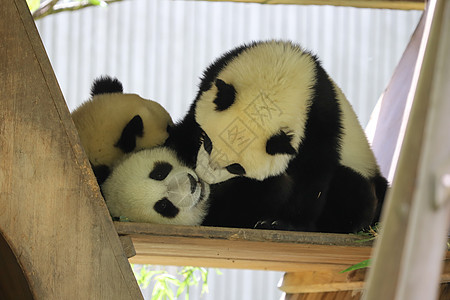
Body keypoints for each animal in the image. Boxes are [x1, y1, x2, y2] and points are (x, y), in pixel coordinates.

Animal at [167, 39, 388, 232]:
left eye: (236, 167)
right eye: (208, 143)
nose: (205, 176)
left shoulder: (318, 126)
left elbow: (312, 177)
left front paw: (283, 223)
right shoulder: (218, 72)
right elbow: (191, 122)